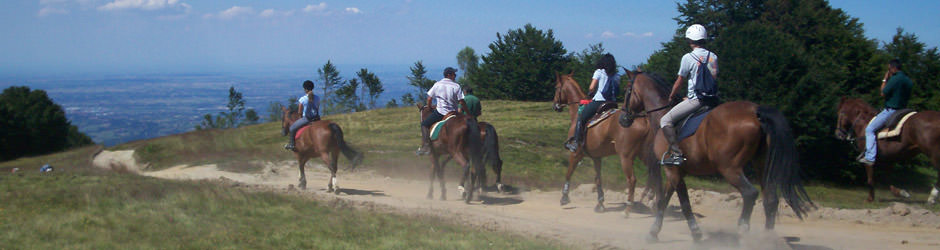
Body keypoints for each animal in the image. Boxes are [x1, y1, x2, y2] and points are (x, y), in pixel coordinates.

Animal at [556, 71, 648, 214]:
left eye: (556, 87)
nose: (555, 105)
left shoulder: (576, 154)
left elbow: (569, 172)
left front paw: (564, 197)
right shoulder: (596, 157)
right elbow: (598, 179)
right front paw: (600, 203)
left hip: (626, 157)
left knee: (632, 180)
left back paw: (628, 208)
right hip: (645, 155)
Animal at [620, 71, 812, 242]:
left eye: (627, 90)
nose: (622, 118)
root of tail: (755, 111)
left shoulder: (672, 170)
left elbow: (676, 202)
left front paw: (658, 233)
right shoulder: (676, 172)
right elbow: (674, 201)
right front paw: (690, 232)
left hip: (729, 168)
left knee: (750, 193)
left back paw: (742, 231)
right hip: (761, 166)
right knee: (770, 200)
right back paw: (767, 239)